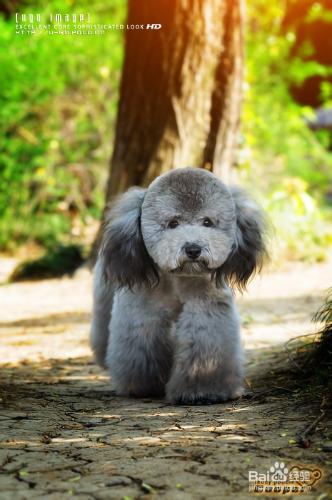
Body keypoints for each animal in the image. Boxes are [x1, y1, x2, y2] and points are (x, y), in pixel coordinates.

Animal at [89, 166, 266, 404]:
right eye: (173, 223)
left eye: (207, 222)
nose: (193, 249)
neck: (179, 280)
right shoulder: (143, 314)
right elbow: (142, 347)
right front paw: (144, 386)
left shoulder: (205, 312)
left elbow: (202, 347)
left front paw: (202, 391)